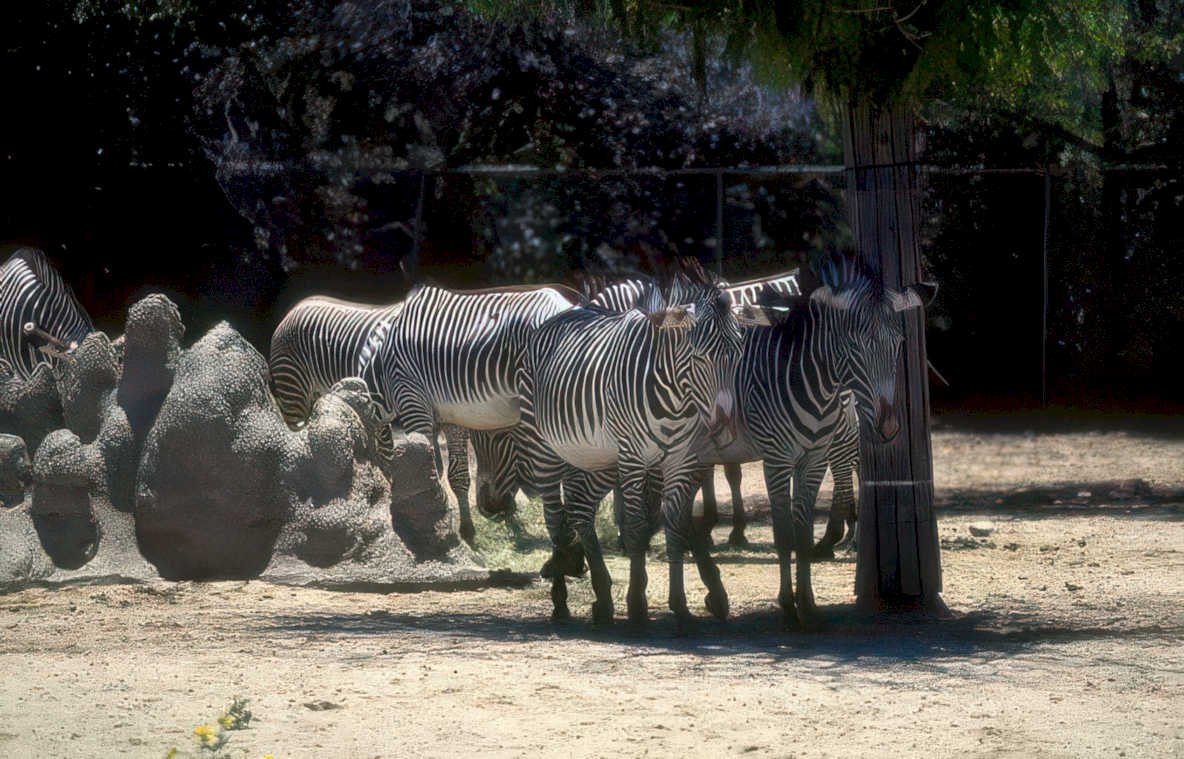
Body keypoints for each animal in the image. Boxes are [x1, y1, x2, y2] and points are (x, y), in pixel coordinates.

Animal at [512, 271, 747, 625]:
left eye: (739, 352)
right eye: (699, 357)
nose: (724, 427)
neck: (677, 400)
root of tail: (567, 313)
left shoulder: (679, 462)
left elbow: (674, 525)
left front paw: (680, 605)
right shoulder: (635, 458)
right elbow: (637, 528)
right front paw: (637, 604)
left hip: (595, 457)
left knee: (581, 508)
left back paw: (601, 596)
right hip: (544, 449)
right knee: (554, 515)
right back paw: (561, 601)